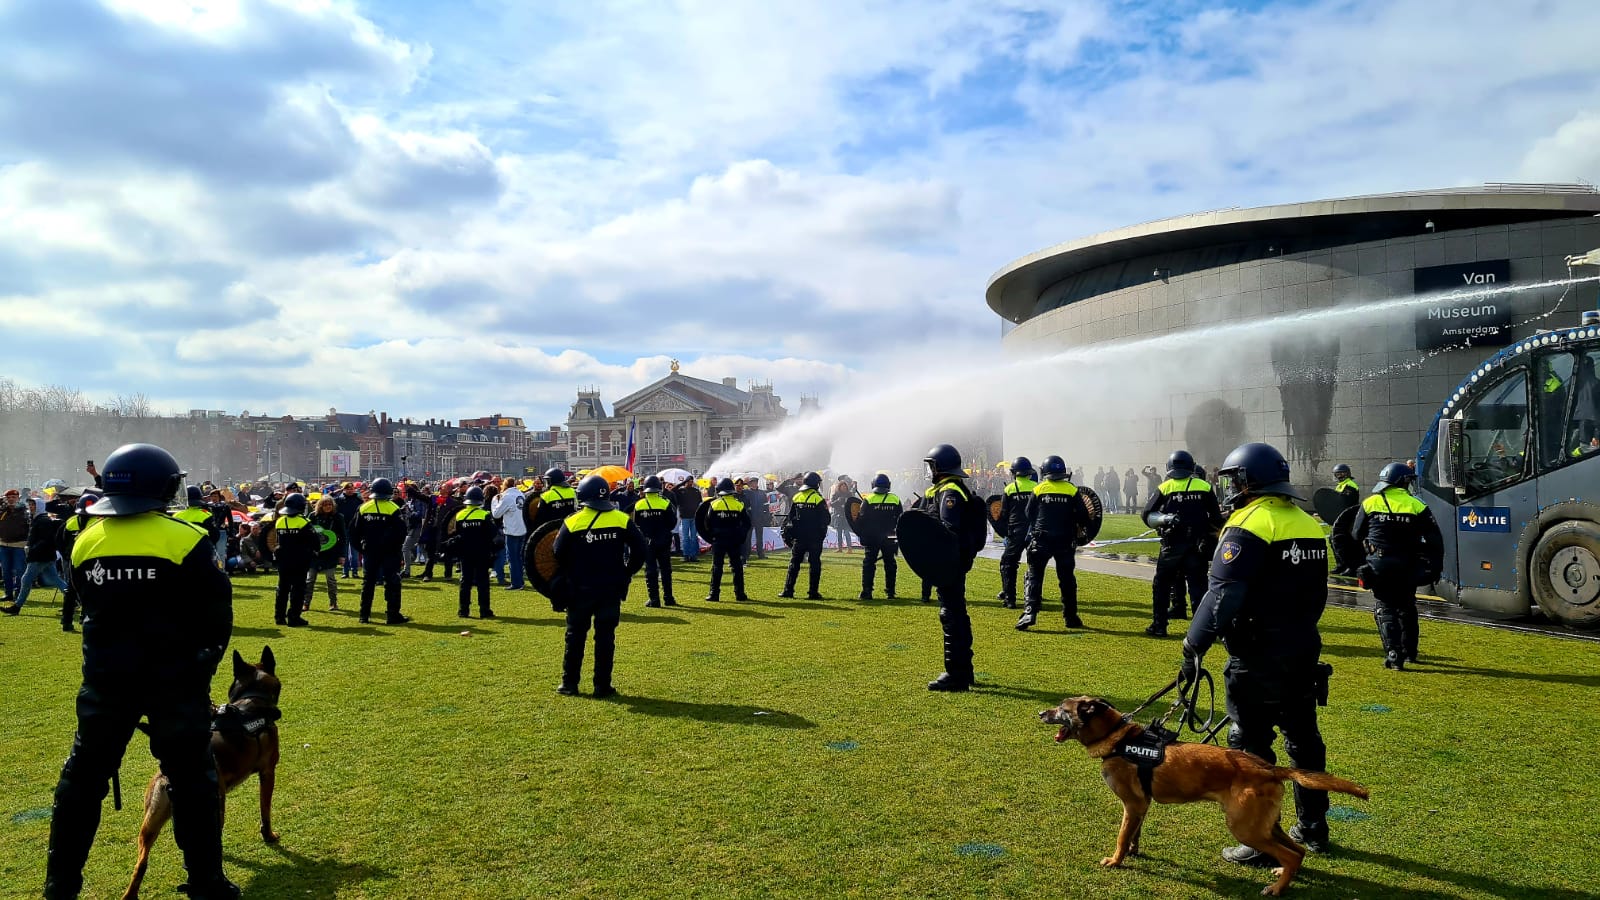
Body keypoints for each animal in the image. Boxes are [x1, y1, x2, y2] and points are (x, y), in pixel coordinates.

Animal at [124, 643, 284, 896]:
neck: (252, 699)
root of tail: (170, 776)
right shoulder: (268, 773)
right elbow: (265, 811)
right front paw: (269, 836)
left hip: (150, 825)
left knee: (141, 865)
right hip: (215, 807)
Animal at [1043, 695, 1369, 890]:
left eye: (1062, 708)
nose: (1039, 712)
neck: (1117, 739)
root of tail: (1268, 768)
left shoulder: (1133, 804)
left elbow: (1122, 837)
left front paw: (1116, 861)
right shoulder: (1141, 806)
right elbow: (1134, 834)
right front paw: (1134, 852)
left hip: (1245, 828)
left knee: (1289, 854)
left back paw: (1276, 889)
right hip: (1265, 825)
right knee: (1297, 852)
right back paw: (1282, 877)